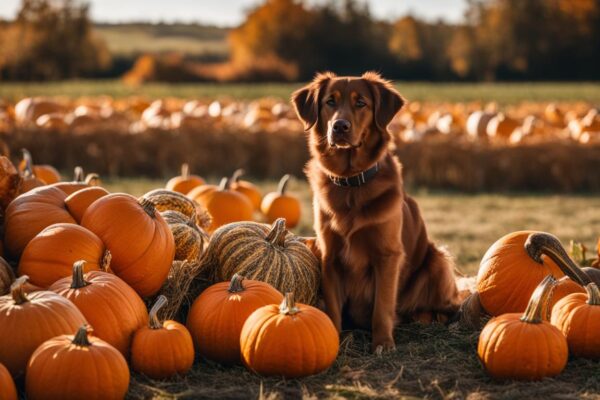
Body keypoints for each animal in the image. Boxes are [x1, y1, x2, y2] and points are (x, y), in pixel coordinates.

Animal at [292, 72, 462, 354]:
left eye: (361, 103)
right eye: (330, 102)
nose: (339, 127)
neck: (351, 183)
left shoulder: (388, 255)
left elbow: (382, 306)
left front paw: (383, 343)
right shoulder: (329, 255)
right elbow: (333, 307)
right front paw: (334, 338)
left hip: (437, 261)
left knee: (448, 308)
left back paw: (425, 317)